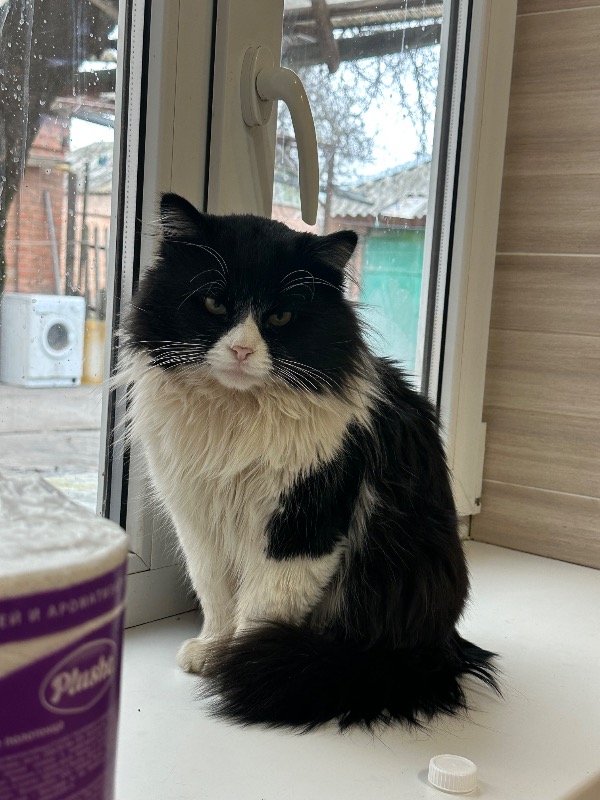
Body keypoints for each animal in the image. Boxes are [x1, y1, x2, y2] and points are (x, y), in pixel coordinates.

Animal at [120, 192, 499, 731]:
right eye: (215, 303)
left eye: (280, 318)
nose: (241, 350)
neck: (237, 418)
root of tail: (442, 648)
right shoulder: (200, 523)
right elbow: (216, 597)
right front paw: (212, 652)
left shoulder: (302, 526)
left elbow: (260, 610)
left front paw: (239, 669)